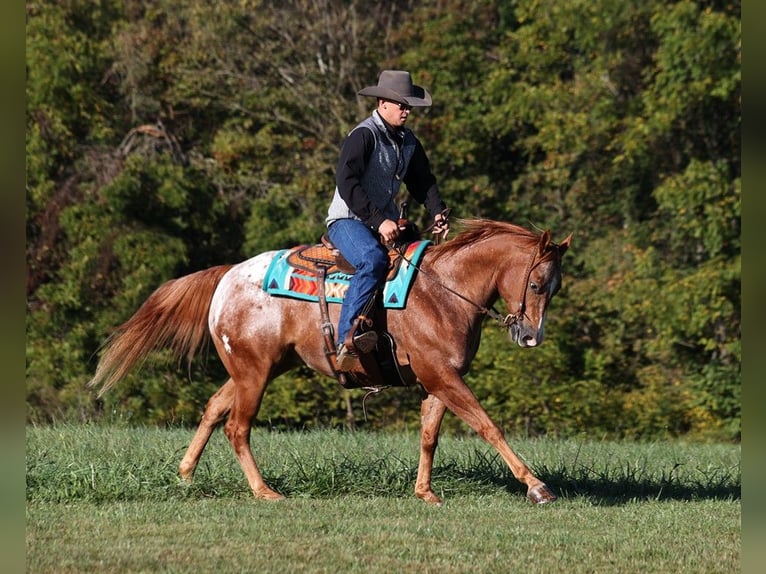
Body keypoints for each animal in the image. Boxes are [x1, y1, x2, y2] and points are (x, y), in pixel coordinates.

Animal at [88, 218, 568, 506]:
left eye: (556, 287)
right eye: (537, 283)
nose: (531, 336)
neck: (442, 291)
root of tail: (227, 275)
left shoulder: (437, 380)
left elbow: (429, 435)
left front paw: (425, 492)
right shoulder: (442, 376)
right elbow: (488, 425)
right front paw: (537, 486)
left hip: (257, 369)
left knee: (212, 409)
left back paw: (186, 475)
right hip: (254, 373)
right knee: (236, 427)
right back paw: (264, 491)